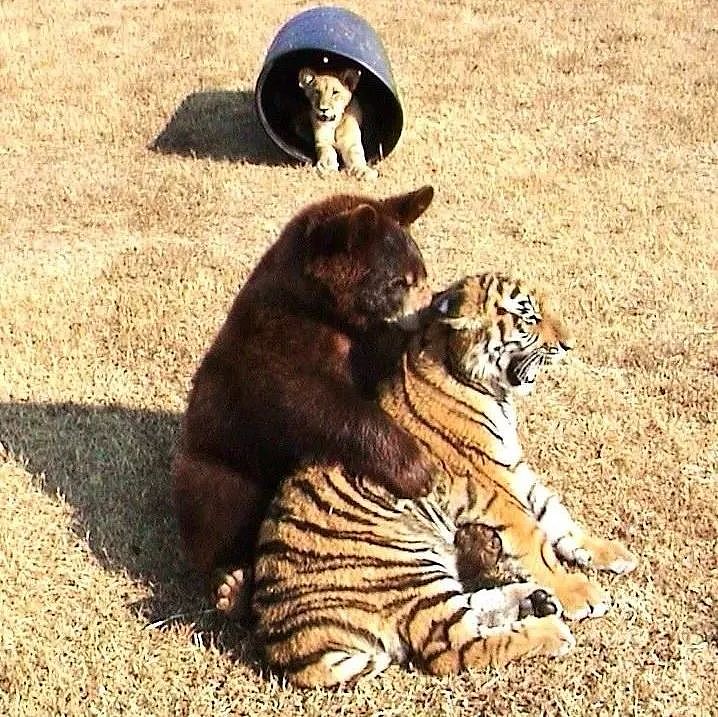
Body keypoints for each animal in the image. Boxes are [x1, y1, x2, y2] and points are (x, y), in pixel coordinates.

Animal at [171, 185, 436, 614]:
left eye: (421, 274)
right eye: (398, 282)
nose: (425, 312)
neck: (322, 309)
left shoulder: (365, 343)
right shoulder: (275, 341)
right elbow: (310, 402)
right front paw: (417, 468)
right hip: (222, 457)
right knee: (214, 504)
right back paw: (230, 584)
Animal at [252, 272, 637, 687]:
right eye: (528, 317)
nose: (568, 345)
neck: (485, 387)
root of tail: (287, 645)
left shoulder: (515, 471)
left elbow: (557, 516)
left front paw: (610, 553)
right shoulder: (497, 488)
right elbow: (537, 542)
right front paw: (577, 592)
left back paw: (534, 600)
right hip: (408, 570)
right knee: (454, 649)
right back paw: (549, 630)